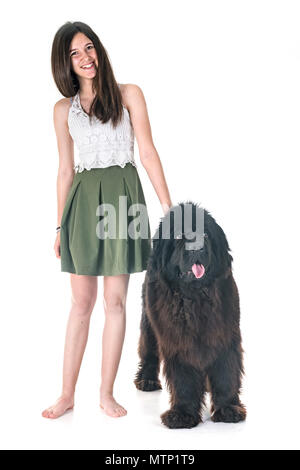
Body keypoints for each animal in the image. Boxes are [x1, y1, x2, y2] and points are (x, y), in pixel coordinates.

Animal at [134, 202, 246, 430]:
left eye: (205, 233)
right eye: (179, 235)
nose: (196, 247)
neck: (195, 298)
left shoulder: (225, 334)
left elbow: (226, 373)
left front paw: (228, 409)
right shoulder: (177, 341)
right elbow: (183, 379)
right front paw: (182, 414)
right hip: (148, 322)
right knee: (148, 351)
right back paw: (147, 380)